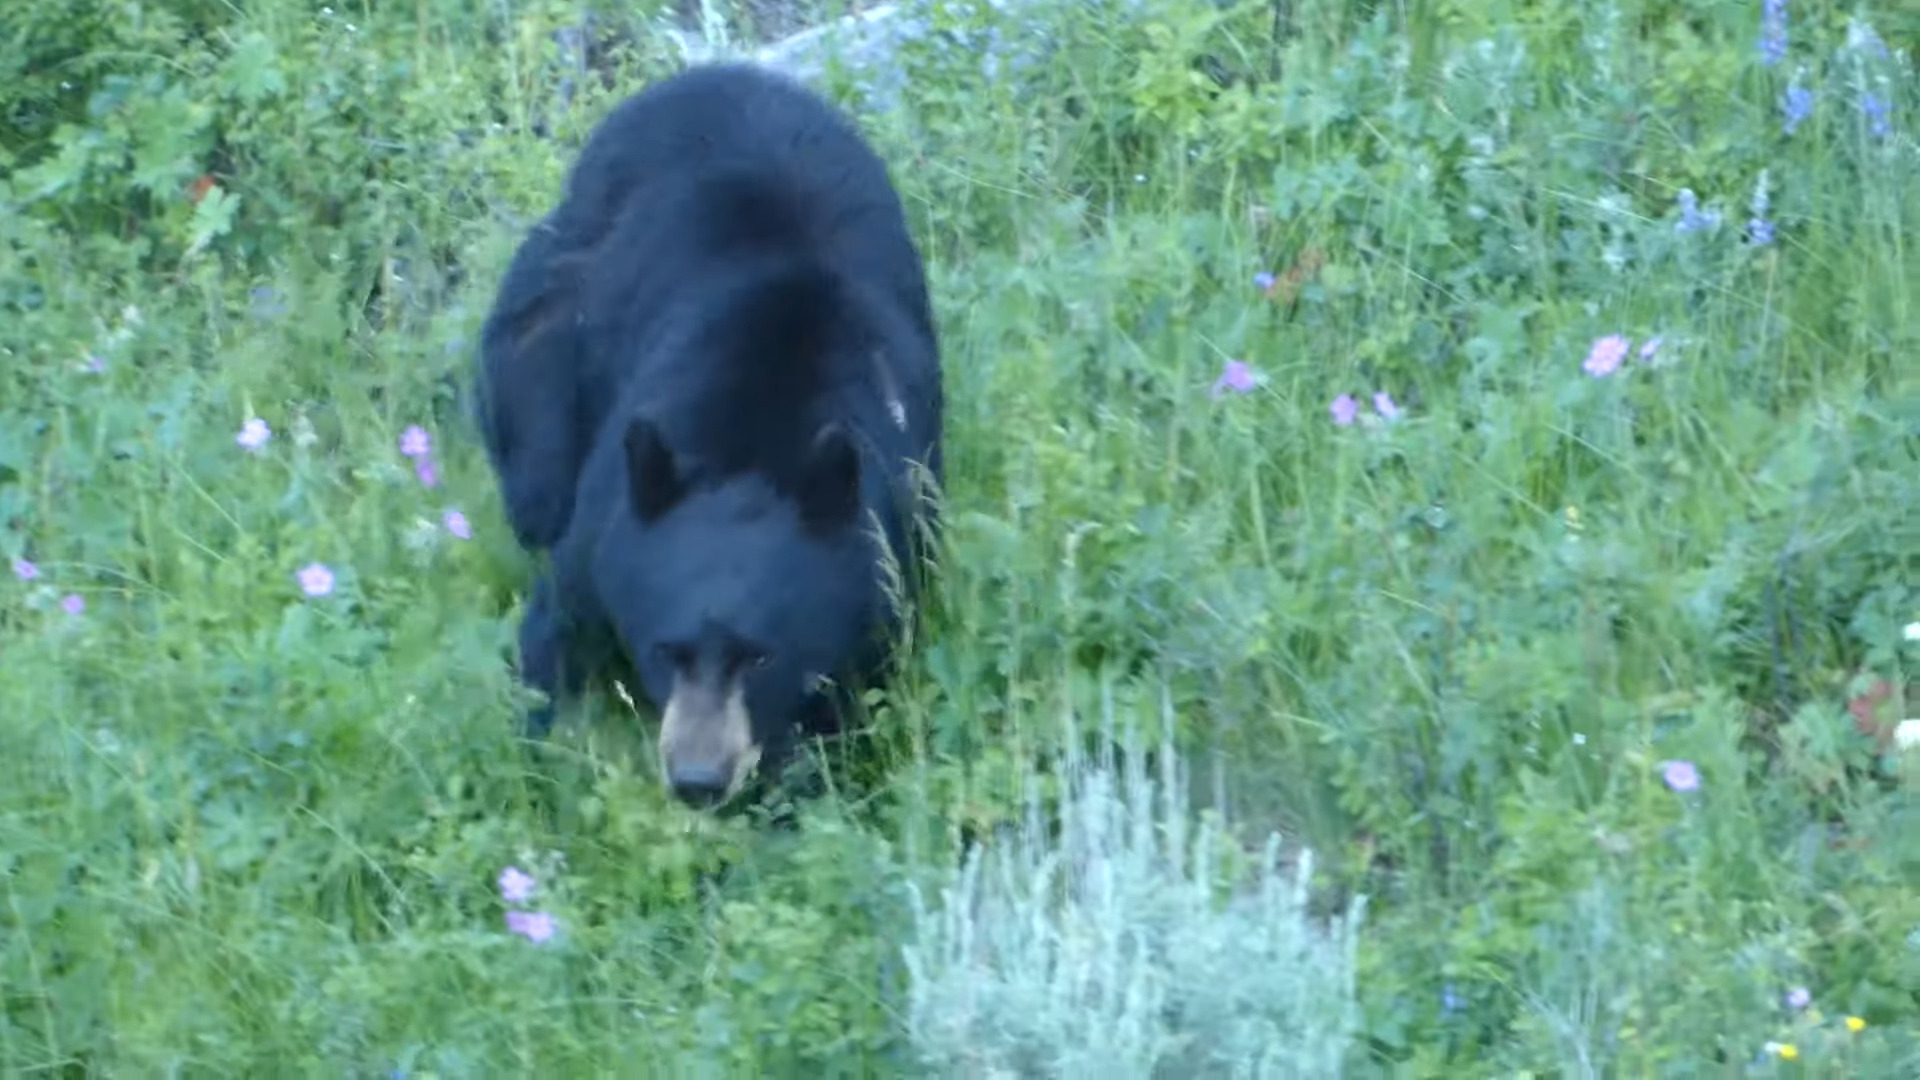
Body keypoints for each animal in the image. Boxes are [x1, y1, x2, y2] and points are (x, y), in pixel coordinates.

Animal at [468, 62, 940, 807]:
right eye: (668, 650)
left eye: (762, 655)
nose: (697, 779)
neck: (755, 425)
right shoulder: (605, 528)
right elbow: (551, 638)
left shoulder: (894, 549)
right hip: (540, 334)